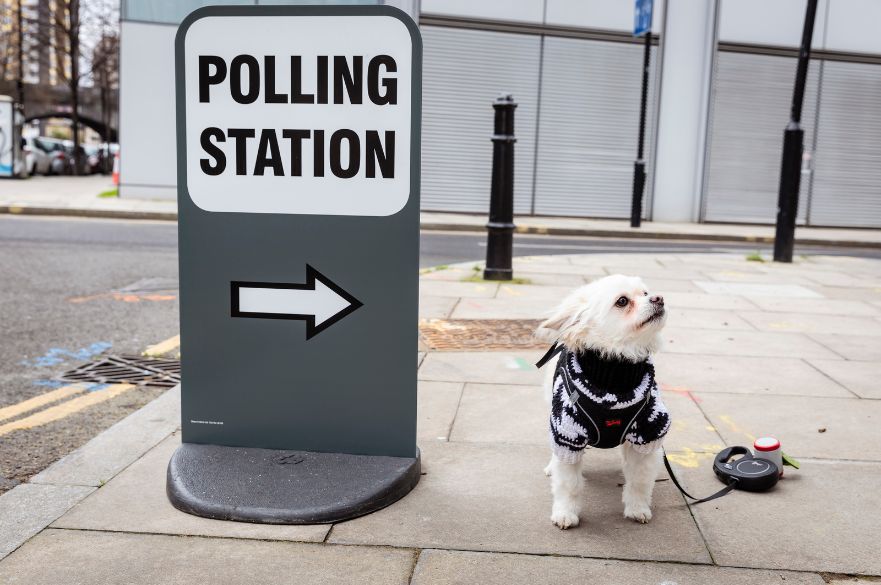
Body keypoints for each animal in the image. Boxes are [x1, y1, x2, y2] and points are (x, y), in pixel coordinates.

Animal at [536, 274, 668, 528]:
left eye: (645, 293)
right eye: (622, 301)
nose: (659, 298)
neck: (614, 375)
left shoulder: (647, 434)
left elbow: (639, 481)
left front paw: (637, 508)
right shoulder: (568, 435)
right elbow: (569, 484)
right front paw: (565, 513)